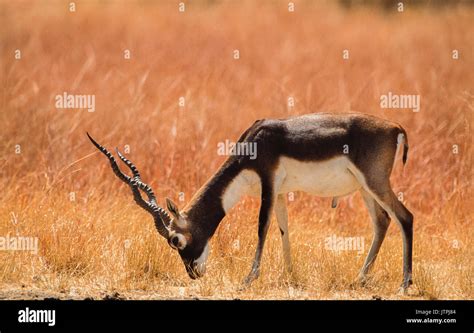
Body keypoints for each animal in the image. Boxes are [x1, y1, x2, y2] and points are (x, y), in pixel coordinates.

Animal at [89, 113, 414, 290]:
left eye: (175, 240)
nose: (193, 274)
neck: (254, 141)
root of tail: (396, 126)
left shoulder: (269, 184)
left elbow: (262, 227)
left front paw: (249, 278)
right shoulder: (280, 192)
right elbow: (283, 230)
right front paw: (289, 276)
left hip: (374, 182)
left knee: (405, 217)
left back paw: (404, 283)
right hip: (365, 188)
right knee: (382, 222)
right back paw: (359, 279)